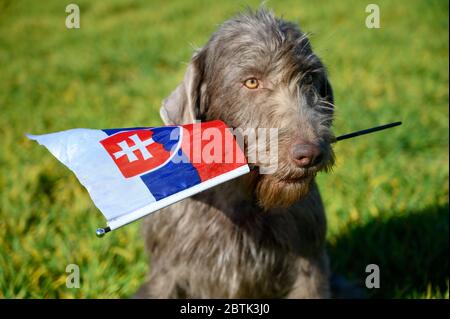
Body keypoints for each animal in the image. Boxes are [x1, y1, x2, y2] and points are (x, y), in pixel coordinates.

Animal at [137, 8, 338, 300]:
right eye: (251, 82)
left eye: (309, 78)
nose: (311, 153)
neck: (240, 199)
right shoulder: (166, 275)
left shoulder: (310, 267)